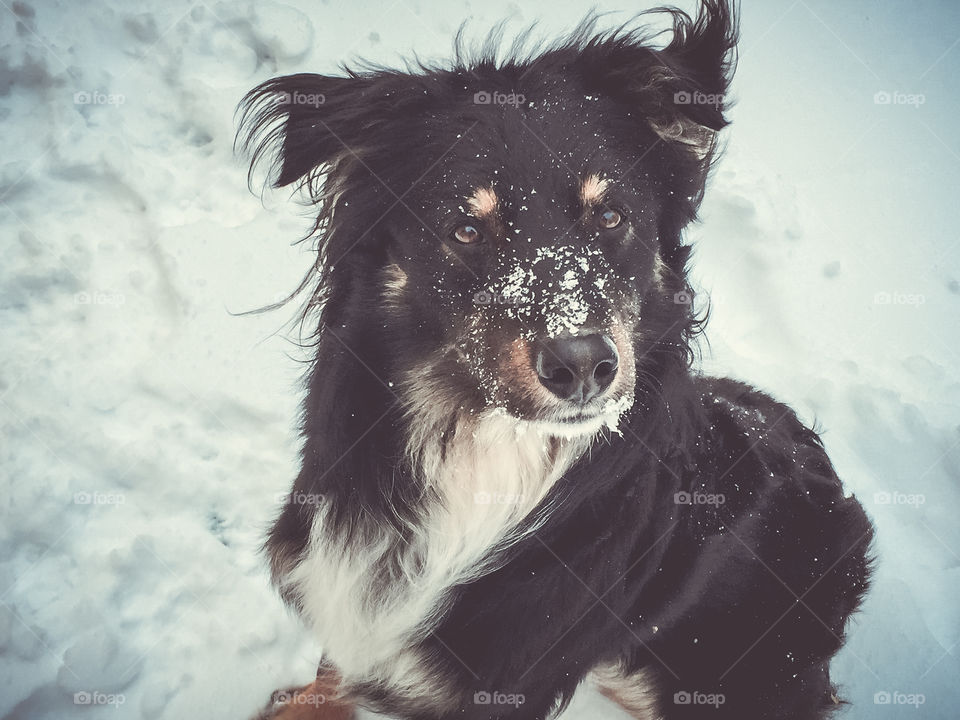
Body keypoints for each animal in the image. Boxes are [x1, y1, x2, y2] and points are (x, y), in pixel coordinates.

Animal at [238, 2, 872, 716]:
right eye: (465, 229)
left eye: (612, 216)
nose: (583, 366)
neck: (481, 452)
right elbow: (334, 660)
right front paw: (309, 703)